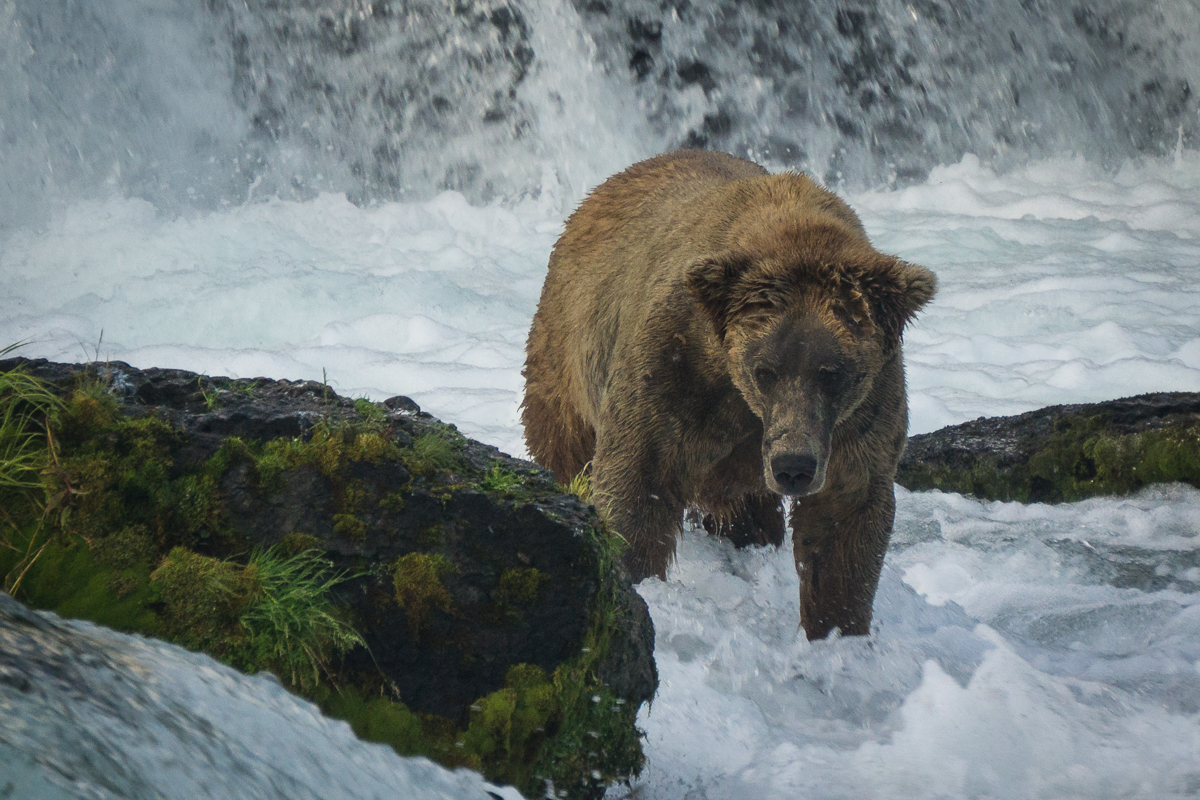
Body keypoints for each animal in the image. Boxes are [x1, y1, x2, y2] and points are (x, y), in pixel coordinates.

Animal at [520, 148, 931, 638]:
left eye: (832, 373)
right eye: (764, 370)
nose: (793, 467)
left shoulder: (862, 412)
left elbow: (845, 514)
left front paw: (837, 628)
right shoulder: (675, 366)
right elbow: (638, 479)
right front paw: (633, 578)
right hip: (566, 352)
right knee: (567, 446)